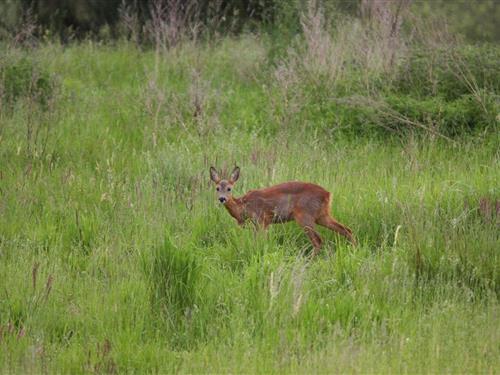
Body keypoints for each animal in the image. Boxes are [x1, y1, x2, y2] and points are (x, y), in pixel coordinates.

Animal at [210, 167, 356, 258]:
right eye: (217, 188)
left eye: (229, 188)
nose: (222, 199)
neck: (243, 207)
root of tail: (328, 194)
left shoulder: (262, 220)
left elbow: (261, 242)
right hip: (322, 215)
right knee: (346, 229)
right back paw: (354, 250)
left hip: (304, 216)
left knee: (318, 240)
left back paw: (309, 260)